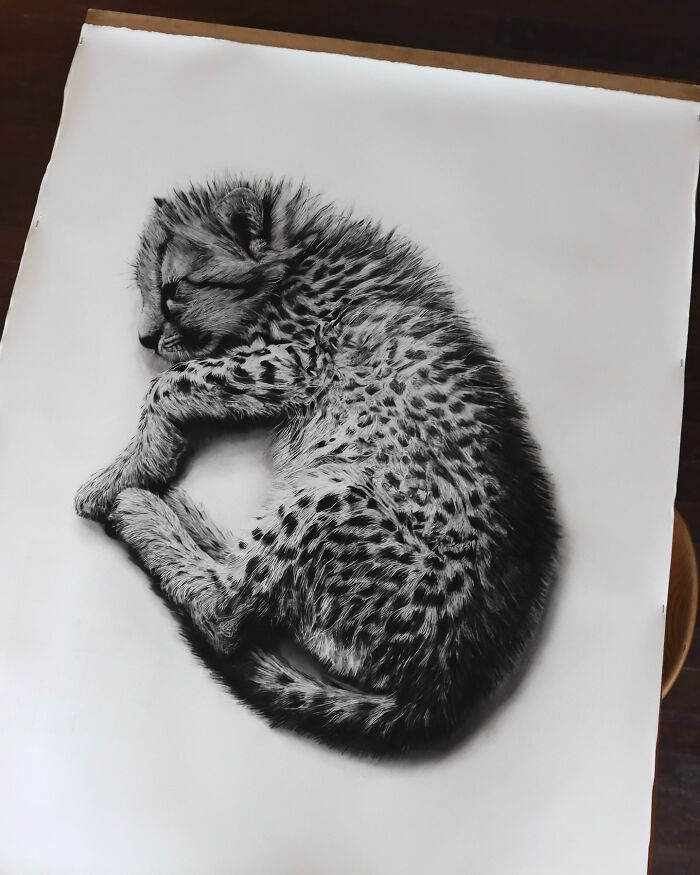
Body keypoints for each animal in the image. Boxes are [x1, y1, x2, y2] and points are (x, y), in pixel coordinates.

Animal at [75, 176, 559, 757]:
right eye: (144, 287)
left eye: (174, 290)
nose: (144, 339)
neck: (293, 264)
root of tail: (449, 687)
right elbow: (178, 384)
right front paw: (143, 462)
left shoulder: (293, 362)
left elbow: (169, 383)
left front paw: (121, 476)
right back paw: (183, 514)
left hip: (335, 493)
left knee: (226, 611)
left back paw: (142, 510)